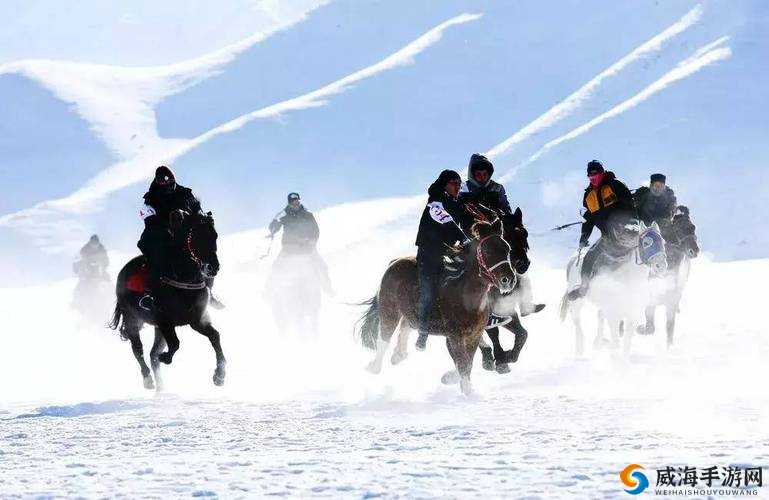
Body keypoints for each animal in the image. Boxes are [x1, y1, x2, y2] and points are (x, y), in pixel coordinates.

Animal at [106, 211, 225, 390]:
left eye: (214, 235)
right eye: (195, 237)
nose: (212, 267)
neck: (184, 281)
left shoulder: (197, 321)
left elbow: (215, 336)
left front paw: (219, 376)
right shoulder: (165, 321)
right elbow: (175, 343)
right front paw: (165, 357)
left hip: (158, 329)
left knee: (152, 353)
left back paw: (161, 388)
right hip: (133, 319)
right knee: (138, 349)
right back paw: (148, 380)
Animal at [356, 218, 516, 394]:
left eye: (507, 249)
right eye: (487, 251)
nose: (508, 280)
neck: (466, 296)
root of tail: (394, 263)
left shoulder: (474, 335)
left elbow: (468, 361)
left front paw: (457, 381)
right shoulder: (455, 336)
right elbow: (462, 362)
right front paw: (467, 391)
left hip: (408, 314)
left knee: (405, 326)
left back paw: (399, 354)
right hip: (389, 311)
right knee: (384, 338)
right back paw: (375, 366)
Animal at [560, 213, 664, 358]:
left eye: (663, 242)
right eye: (646, 243)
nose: (661, 266)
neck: (628, 278)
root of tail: (574, 259)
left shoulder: (632, 313)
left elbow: (626, 341)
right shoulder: (613, 312)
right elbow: (616, 338)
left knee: (599, 316)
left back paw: (597, 343)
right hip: (578, 301)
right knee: (576, 320)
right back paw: (579, 350)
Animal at [632, 205, 700, 346]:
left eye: (693, 227)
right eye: (679, 229)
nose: (694, 251)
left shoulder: (670, 297)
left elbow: (669, 326)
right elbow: (650, 324)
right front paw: (640, 328)